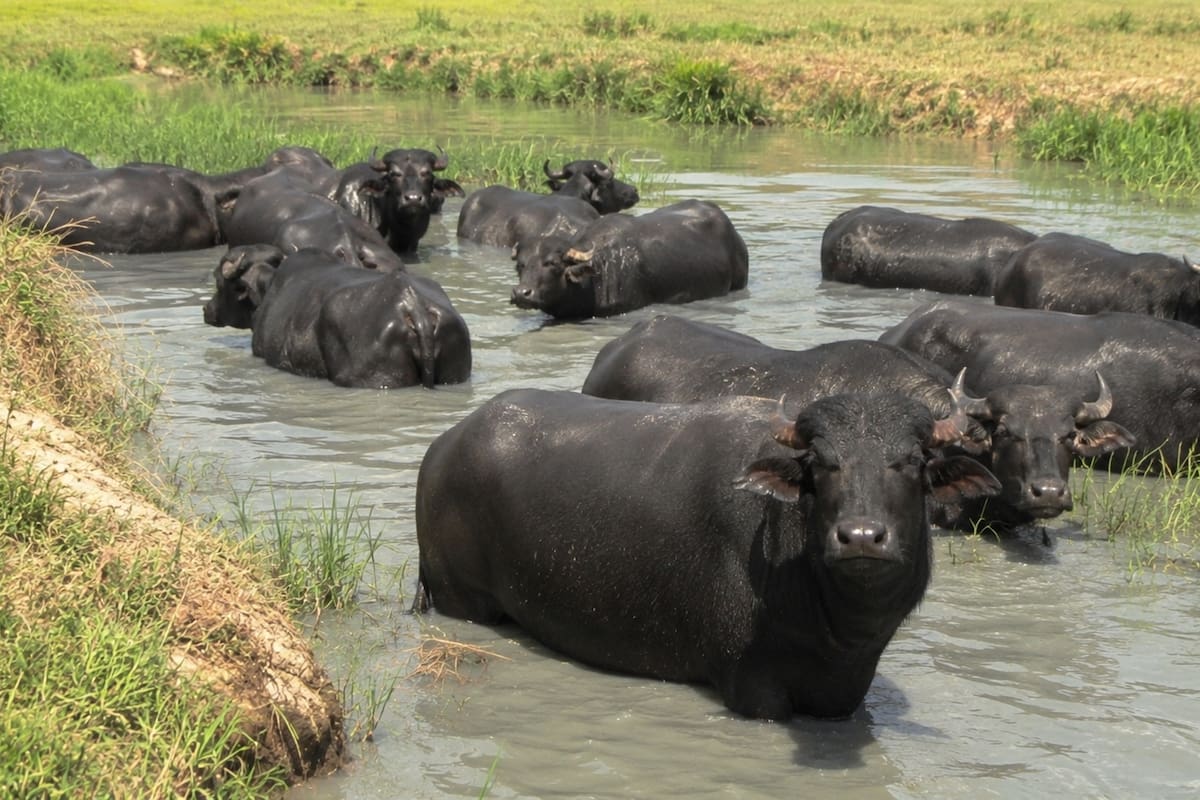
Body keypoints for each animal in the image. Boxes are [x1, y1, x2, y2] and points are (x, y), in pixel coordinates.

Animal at [413, 389, 999, 720]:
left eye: (911, 461)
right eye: (821, 463)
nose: (859, 537)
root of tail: (443, 447)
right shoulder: (753, 686)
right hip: (460, 598)